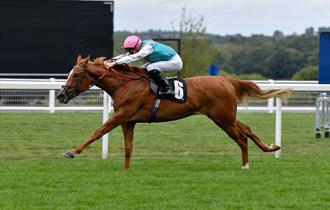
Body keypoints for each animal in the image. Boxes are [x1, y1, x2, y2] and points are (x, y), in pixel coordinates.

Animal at [58, 55, 290, 169]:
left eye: (76, 74)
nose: (61, 95)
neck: (124, 84)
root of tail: (227, 80)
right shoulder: (128, 121)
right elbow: (128, 148)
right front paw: (126, 171)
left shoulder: (121, 115)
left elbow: (97, 132)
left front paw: (72, 151)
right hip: (226, 117)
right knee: (247, 129)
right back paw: (270, 147)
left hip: (223, 119)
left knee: (241, 138)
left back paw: (245, 166)